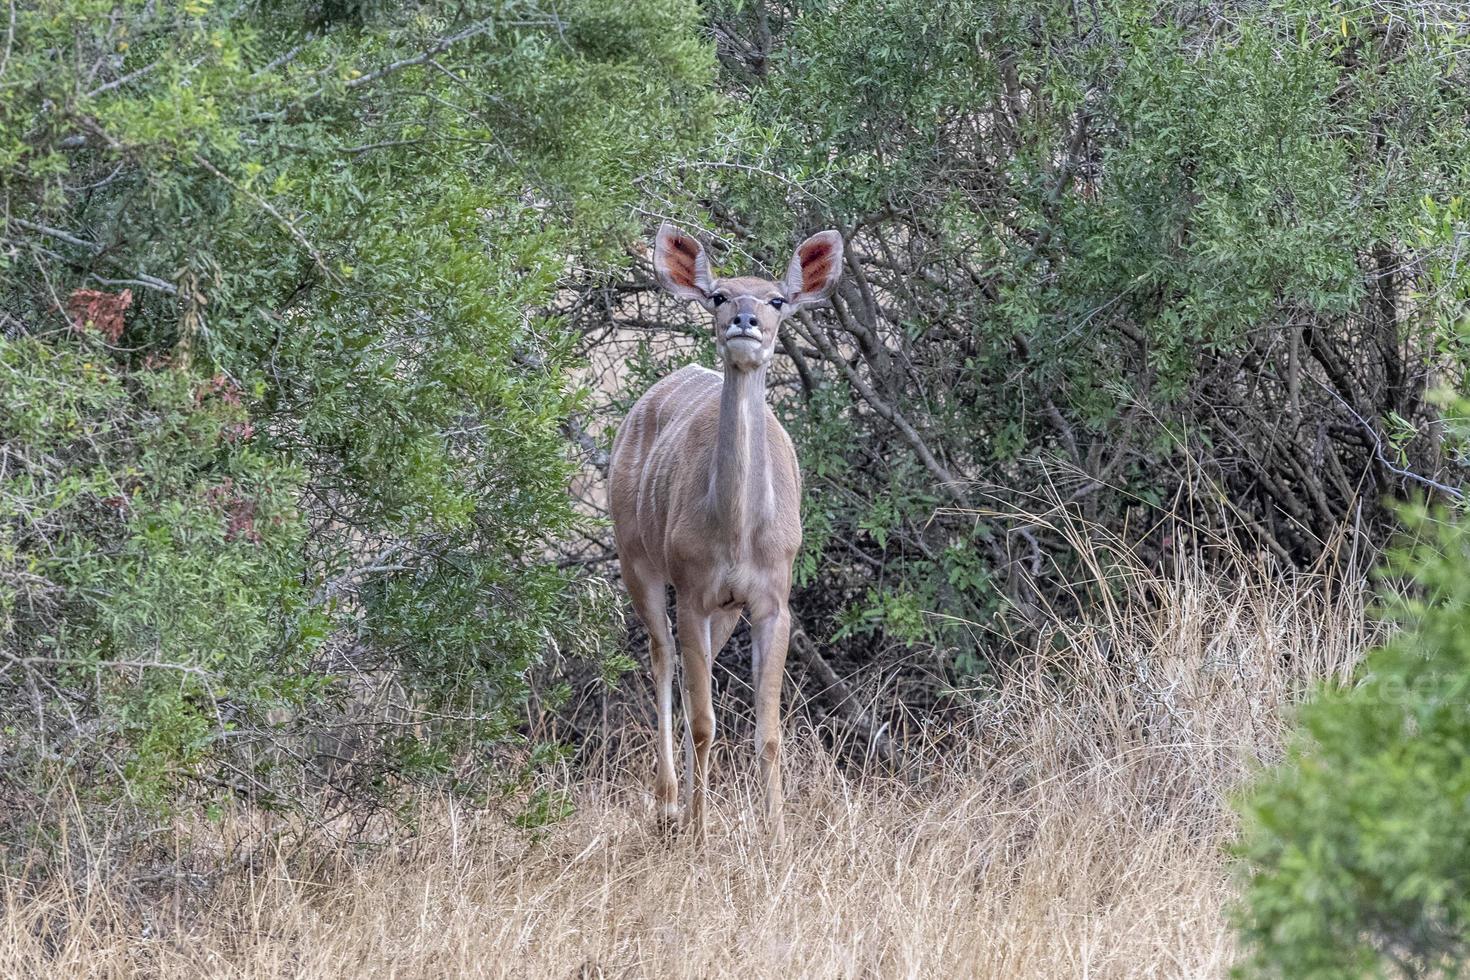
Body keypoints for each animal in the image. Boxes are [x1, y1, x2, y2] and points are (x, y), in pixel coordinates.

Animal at [605, 224, 840, 834]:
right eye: (719, 295)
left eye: (778, 299)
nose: (745, 321)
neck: (737, 533)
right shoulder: (692, 591)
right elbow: (705, 720)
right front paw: (699, 830)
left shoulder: (769, 601)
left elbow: (769, 731)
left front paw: (775, 833)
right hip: (636, 560)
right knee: (664, 658)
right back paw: (669, 803)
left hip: (723, 610)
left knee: (698, 671)